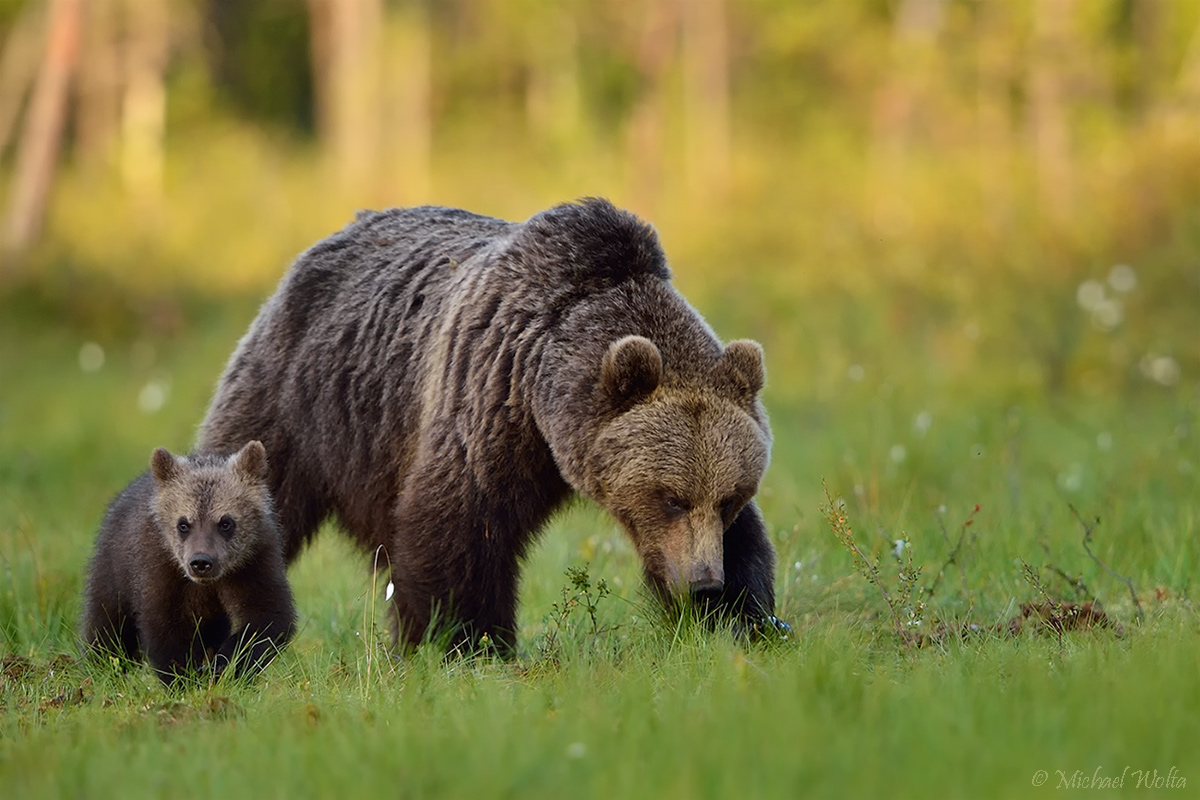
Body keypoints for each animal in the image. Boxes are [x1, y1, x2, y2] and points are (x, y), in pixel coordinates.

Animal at [201, 200, 782, 657]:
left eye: (728, 498)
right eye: (671, 498)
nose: (705, 584)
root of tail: (341, 230)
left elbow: (747, 545)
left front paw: (747, 620)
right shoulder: (490, 397)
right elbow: (460, 526)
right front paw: (465, 643)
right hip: (299, 398)